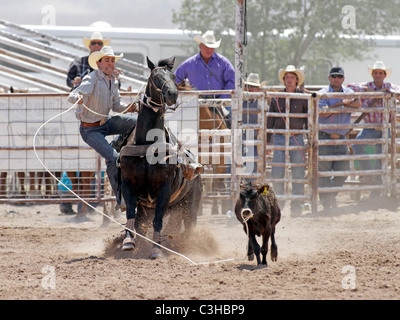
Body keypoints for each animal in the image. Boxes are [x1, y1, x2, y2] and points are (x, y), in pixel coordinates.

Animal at [118, 57, 200, 258]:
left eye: (173, 76)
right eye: (155, 77)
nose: (172, 94)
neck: (148, 144)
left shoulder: (163, 189)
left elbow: (158, 221)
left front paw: (156, 249)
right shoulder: (128, 185)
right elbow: (130, 214)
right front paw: (128, 242)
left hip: (191, 206)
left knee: (187, 225)